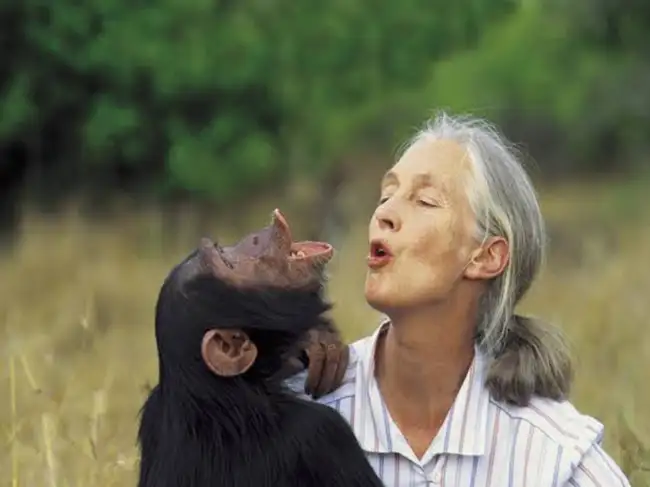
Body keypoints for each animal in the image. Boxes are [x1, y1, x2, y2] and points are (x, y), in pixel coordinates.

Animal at [136, 208, 384, 487]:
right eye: (229, 265)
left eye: (221, 250)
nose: (253, 238)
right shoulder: (322, 432)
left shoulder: (154, 410)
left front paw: (319, 342)